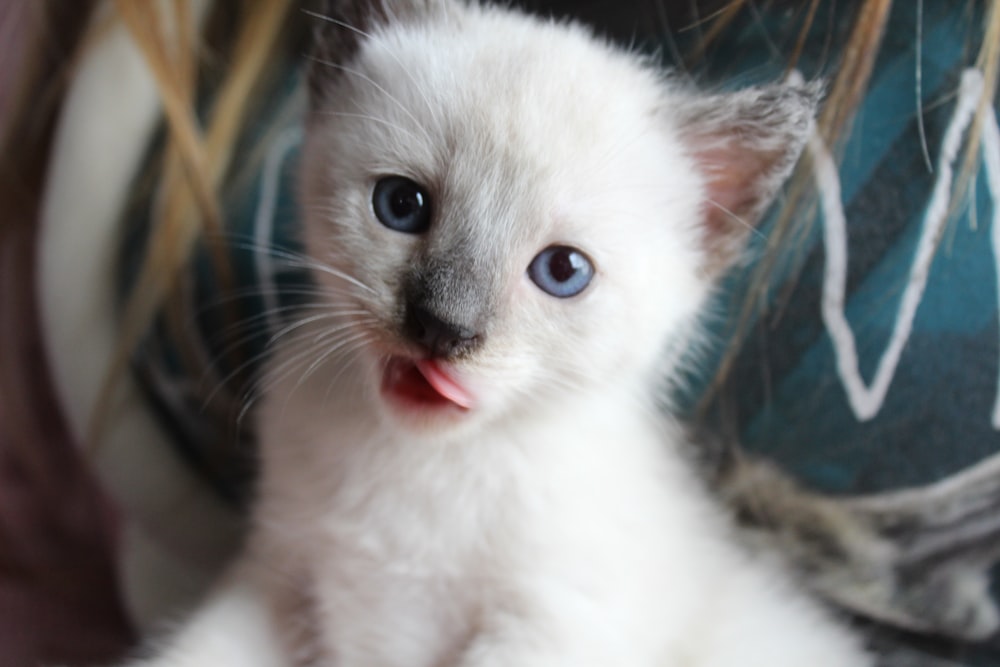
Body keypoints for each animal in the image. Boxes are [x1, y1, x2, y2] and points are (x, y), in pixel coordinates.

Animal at [129, 1, 872, 667]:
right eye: (401, 205)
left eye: (563, 271)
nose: (442, 328)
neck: (425, 464)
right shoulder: (276, 578)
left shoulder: (553, 626)